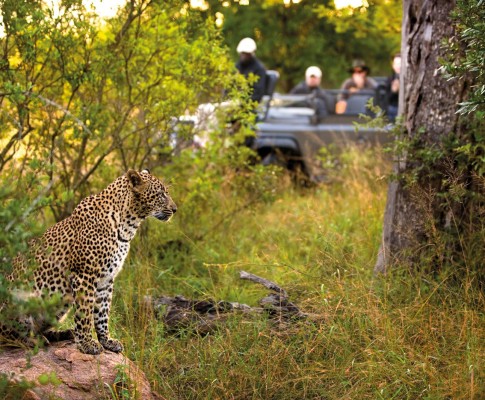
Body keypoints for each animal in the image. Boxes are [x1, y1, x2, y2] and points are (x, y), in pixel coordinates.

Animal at [0, 168, 176, 354]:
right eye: (161, 194)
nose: (175, 209)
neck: (128, 225)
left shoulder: (106, 279)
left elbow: (103, 313)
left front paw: (107, 341)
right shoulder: (84, 275)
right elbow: (85, 313)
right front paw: (87, 343)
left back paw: (63, 333)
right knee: (9, 336)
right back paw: (34, 341)